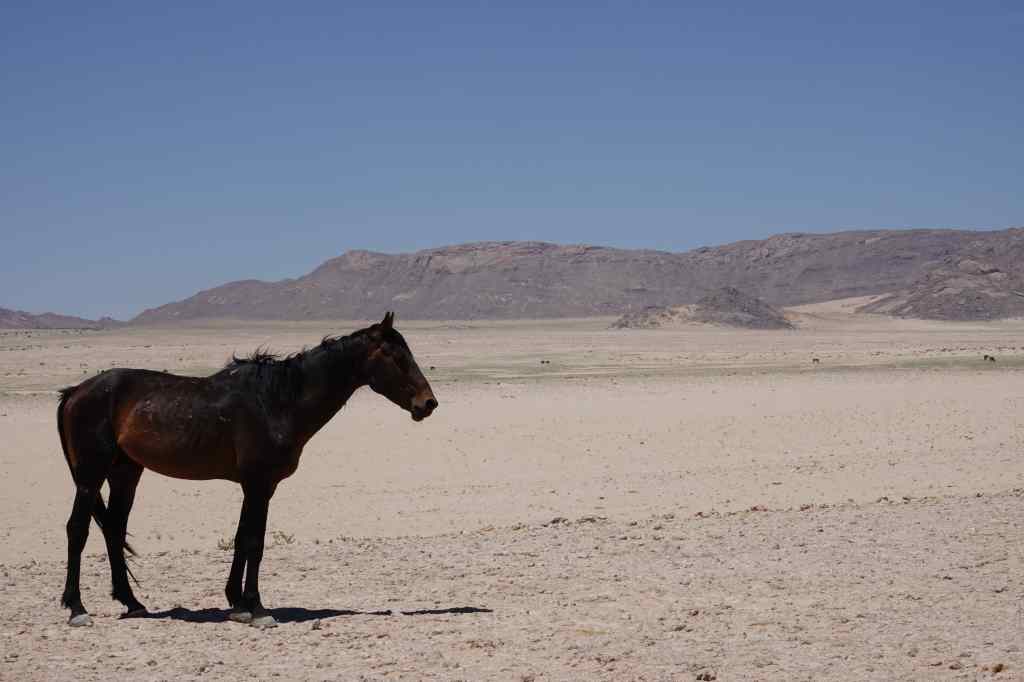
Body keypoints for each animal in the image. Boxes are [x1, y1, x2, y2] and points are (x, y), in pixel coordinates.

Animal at [56, 312, 437, 628]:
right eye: (396, 357)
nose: (427, 403)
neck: (277, 402)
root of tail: (76, 391)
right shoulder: (258, 483)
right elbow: (255, 541)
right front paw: (257, 608)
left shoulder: (255, 486)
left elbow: (242, 538)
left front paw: (237, 604)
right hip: (90, 476)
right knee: (78, 530)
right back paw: (77, 609)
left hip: (125, 473)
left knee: (114, 529)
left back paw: (132, 603)